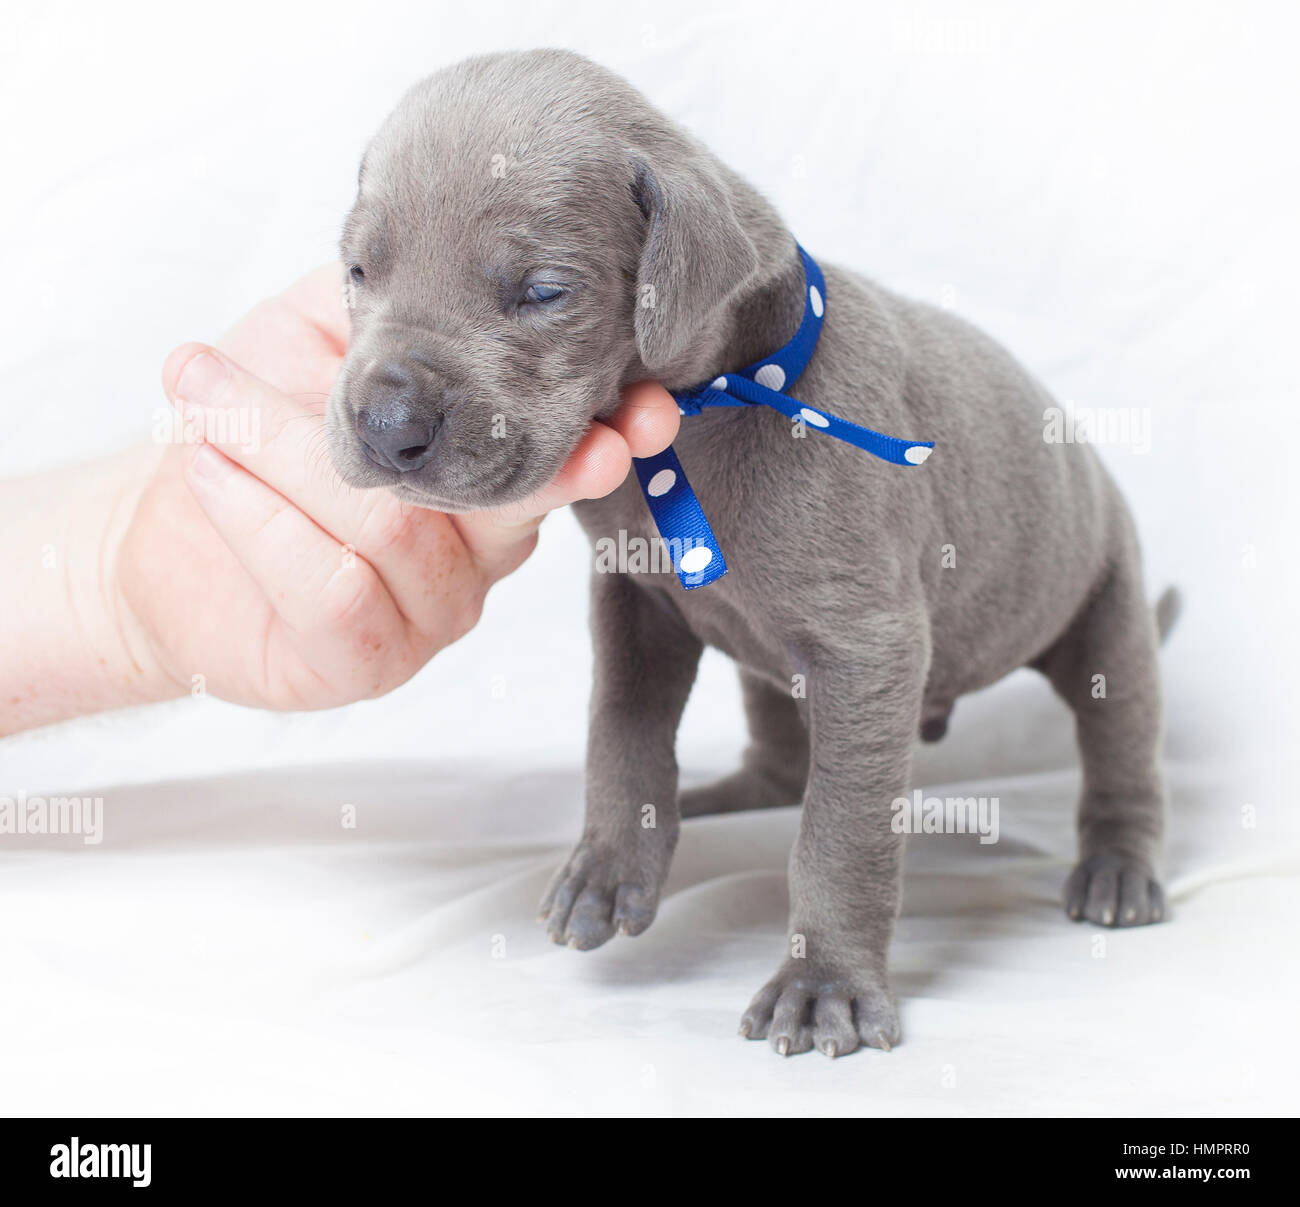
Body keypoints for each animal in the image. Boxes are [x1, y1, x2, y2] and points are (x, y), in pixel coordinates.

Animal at [327, 47, 1180, 1056]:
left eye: (543, 291)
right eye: (358, 269)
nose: (384, 424)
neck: (709, 412)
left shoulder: (868, 648)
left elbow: (840, 830)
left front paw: (825, 985)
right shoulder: (638, 601)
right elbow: (619, 731)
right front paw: (609, 865)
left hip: (1107, 603)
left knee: (1120, 743)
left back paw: (1118, 871)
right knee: (778, 746)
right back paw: (726, 795)